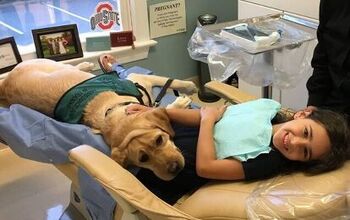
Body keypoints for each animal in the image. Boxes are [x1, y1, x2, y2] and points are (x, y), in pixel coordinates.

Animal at [0, 58, 197, 180]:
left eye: (159, 140)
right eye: (143, 159)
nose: (174, 168)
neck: (110, 112)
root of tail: (5, 85)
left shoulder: (138, 79)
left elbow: (172, 81)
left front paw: (190, 86)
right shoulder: (138, 82)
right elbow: (164, 103)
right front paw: (179, 103)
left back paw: (85, 65)